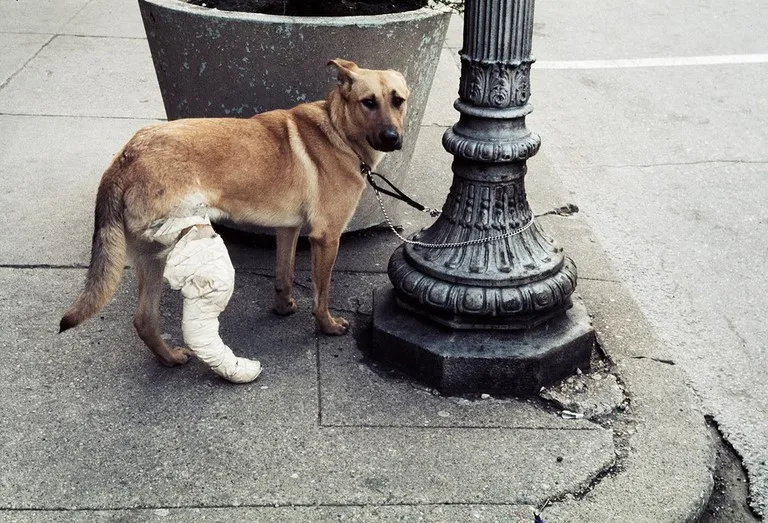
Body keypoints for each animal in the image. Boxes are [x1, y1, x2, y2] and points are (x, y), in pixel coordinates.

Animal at [59, 61, 412, 378]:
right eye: (368, 102)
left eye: (398, 100)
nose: (392, 137)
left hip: (151, 258)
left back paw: (169, 359)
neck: (338, 129)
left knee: (144, 319)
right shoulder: (326, 237)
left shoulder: (288, 229)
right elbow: (321, 293)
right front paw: (326, 325)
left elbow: (283, 275)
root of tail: (127, 156)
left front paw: (283, 307)